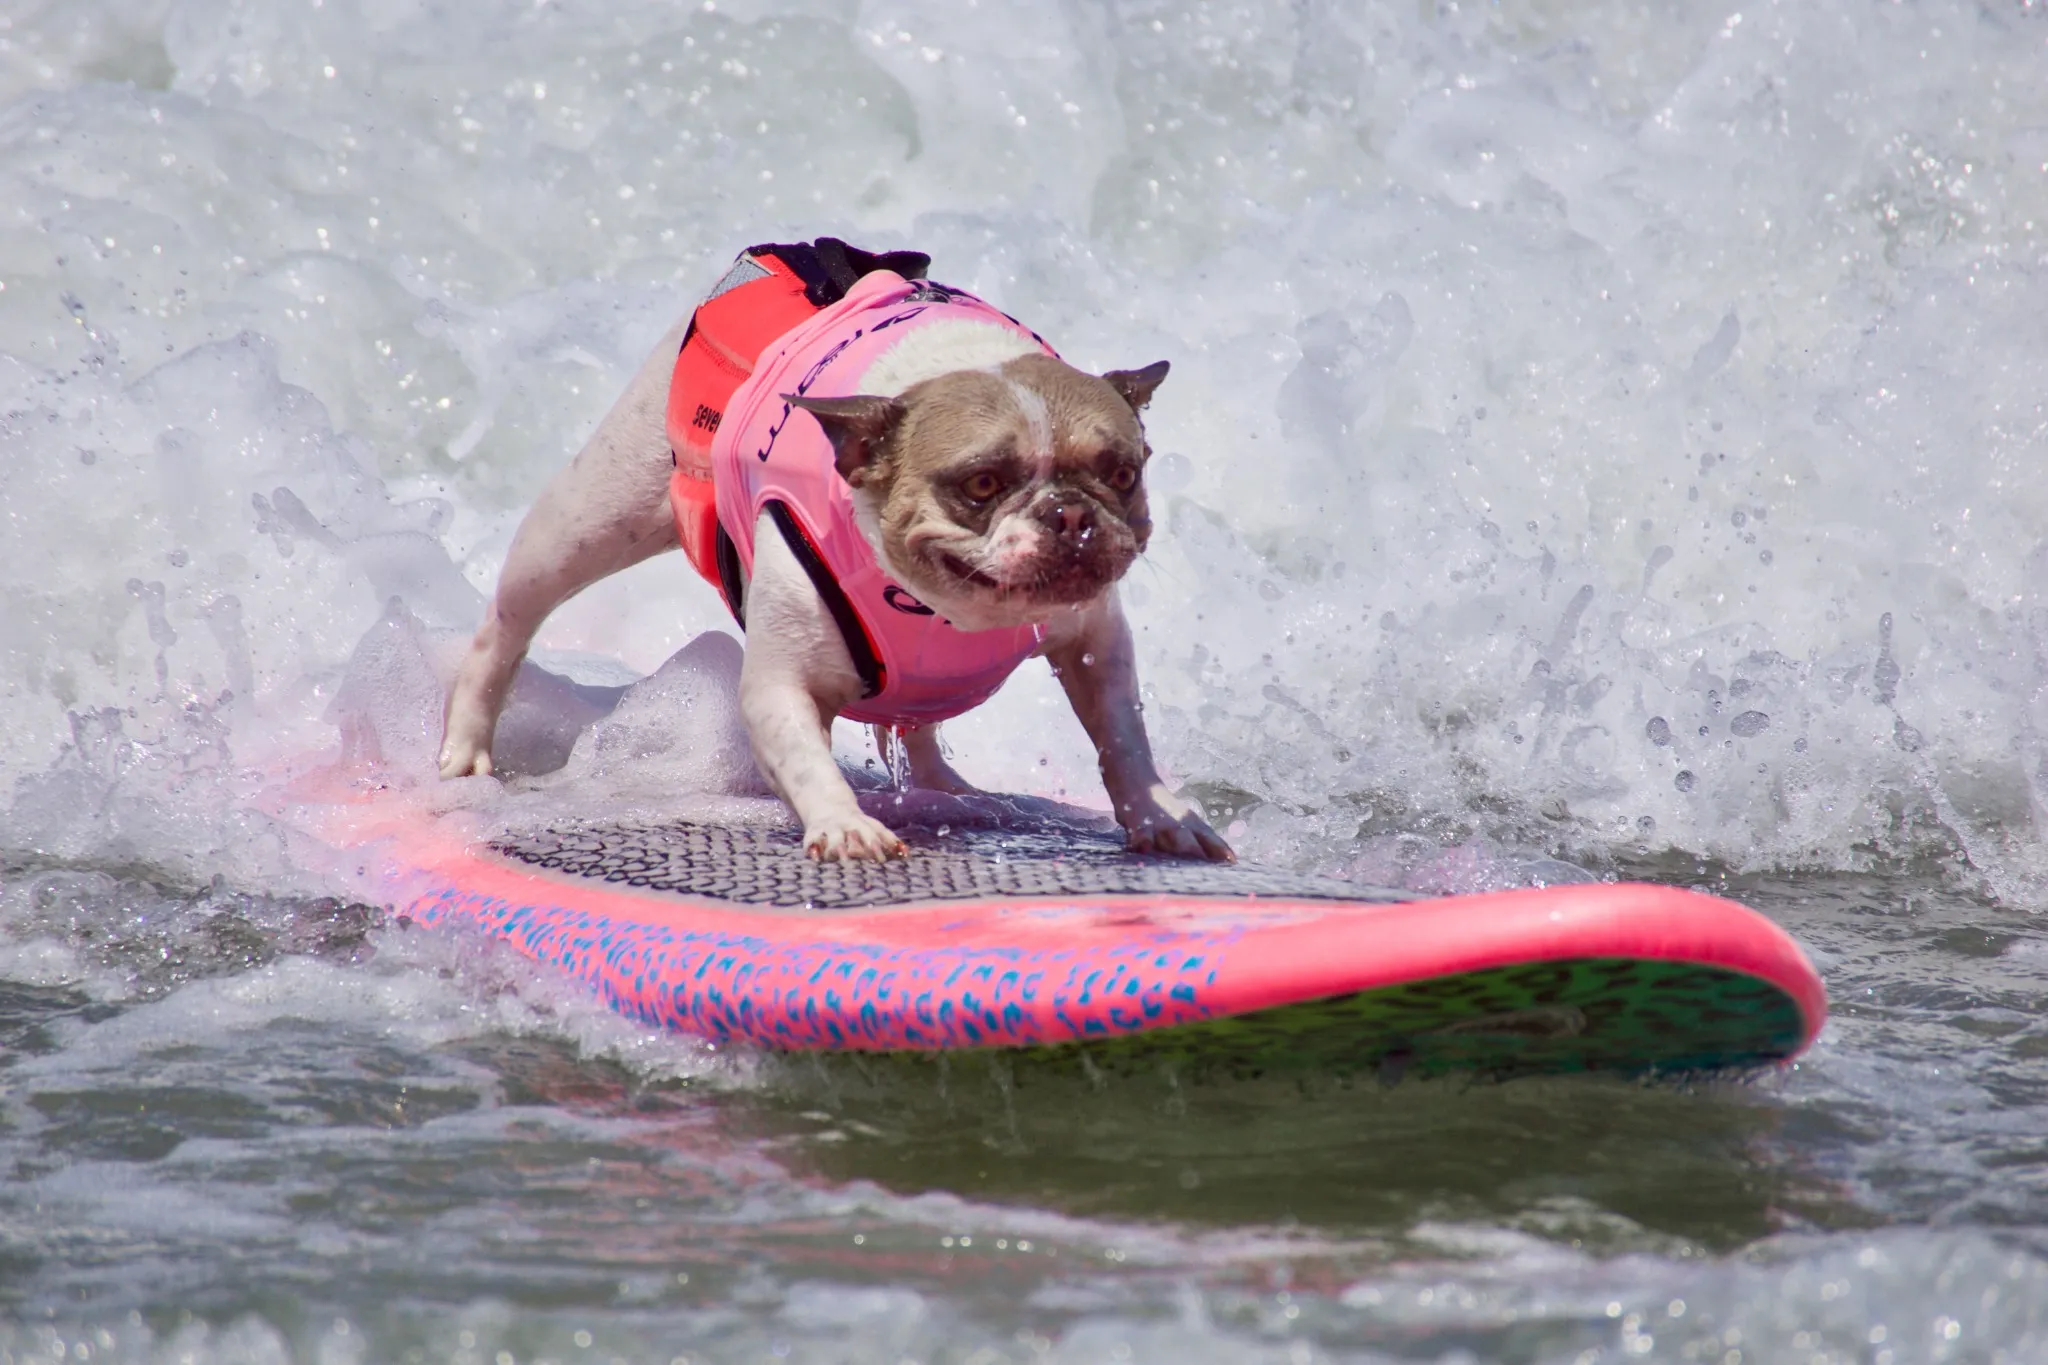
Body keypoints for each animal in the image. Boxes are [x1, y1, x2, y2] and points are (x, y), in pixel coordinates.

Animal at [438, 237, 1220, 863]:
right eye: (982, 483)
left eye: (1122, 473)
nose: (1070, 514)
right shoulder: (781, 681)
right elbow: (803, 751)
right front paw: (845, 825)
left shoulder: (1095, 643)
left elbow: (1121, 736)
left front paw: (1162, 814)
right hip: (590, 518)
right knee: (510, 622)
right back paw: (465, 747)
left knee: (919, 727)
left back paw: (949, 788)